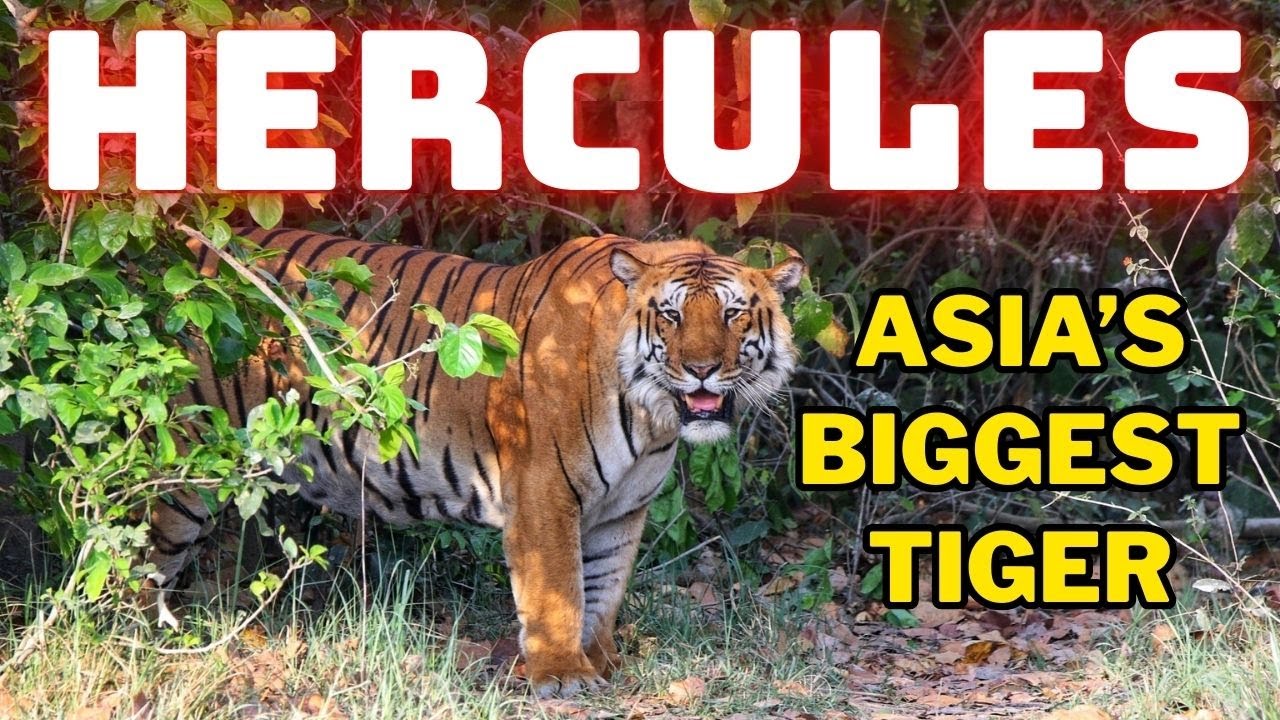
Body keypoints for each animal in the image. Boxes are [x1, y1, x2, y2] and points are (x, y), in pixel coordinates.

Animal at [149, 229, 805, 698]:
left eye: (732, 315)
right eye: (671, 316)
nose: (702, 369)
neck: (654, 417)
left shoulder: (624, 510)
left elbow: (604, 587)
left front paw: (600, 661)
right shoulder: (544, 493)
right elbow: (558, 590)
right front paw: (563, 675)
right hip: (182, 472)